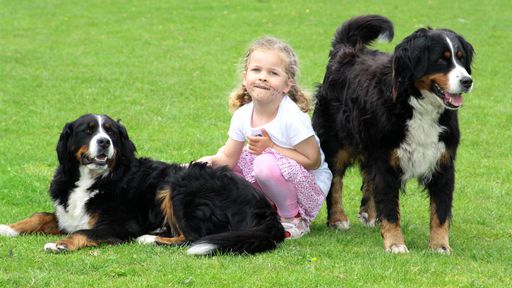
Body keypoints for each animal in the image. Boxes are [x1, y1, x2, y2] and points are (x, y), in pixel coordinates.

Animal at [0, 113, 284, 255]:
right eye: (88, 130)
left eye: (111, 132)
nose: (104, 142)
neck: (95, 178)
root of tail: (264, 207)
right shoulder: (66, 215)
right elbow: (40, 216)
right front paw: (8, 228)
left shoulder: (119, 225)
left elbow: (83, 233)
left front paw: (60, 244)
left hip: (180, 184)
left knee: (192, 238)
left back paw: (150, 238)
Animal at [312, 14, 476, 253]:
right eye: (441, 59)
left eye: (461, 59)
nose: (467, 81)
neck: (419, 106)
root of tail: (348, 50)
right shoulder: (386, 160)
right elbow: (390, 208)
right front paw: (396, 244)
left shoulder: (443, 161)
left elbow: (441, 211)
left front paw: (440, 245)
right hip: (336, 143)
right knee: (335, 181)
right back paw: (337, 219)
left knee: (368, 177)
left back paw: (370, 215)